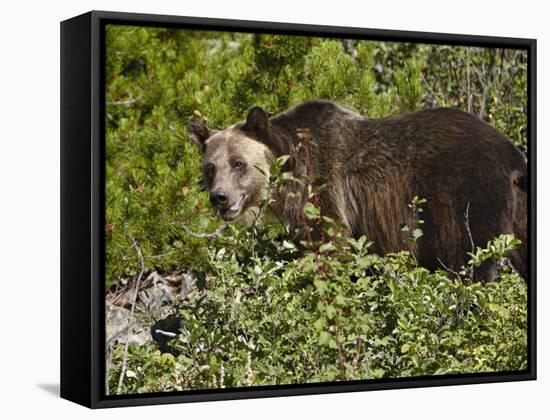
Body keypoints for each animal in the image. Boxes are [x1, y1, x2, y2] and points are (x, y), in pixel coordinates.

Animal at [191, 99, 532, 280]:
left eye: (238, 163)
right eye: (211, 168)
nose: (220, 197)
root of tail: (512, 154)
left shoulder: (323, 187)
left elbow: (330, 244)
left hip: (465, 196)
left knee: (468, 257)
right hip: (521, 207)